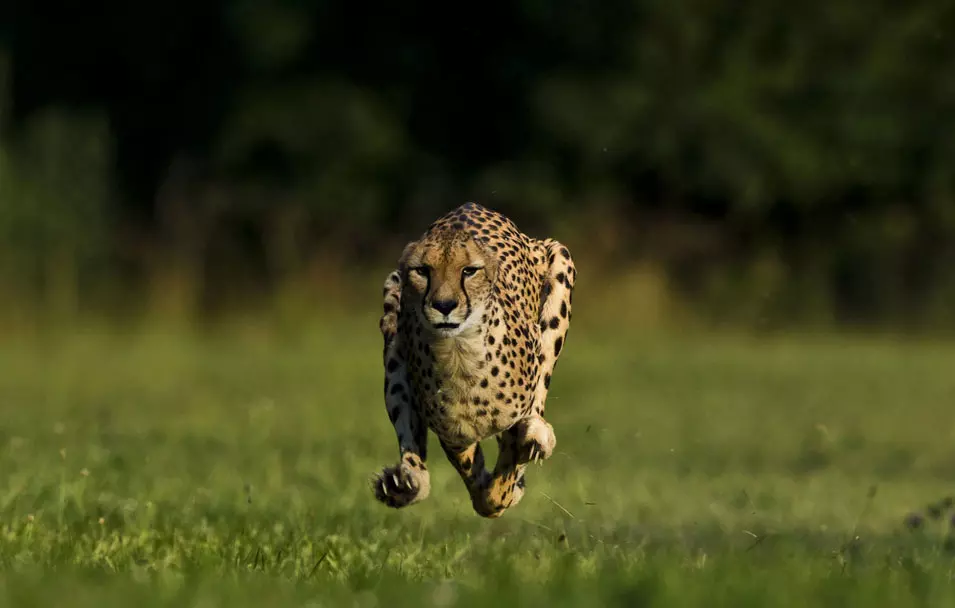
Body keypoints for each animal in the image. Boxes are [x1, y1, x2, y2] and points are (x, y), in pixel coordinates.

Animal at [372, 202, 576, 516]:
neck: (460, 353)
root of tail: (471, 205)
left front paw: (506, 489)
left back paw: (536, 433)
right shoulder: (454, 435)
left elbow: (506, 469)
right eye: (422, 271)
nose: (444, 305)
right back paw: (405, 483)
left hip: (558, 259)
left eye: (469, 271)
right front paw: (494, 493)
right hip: (392, 313)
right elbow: (476, 474)